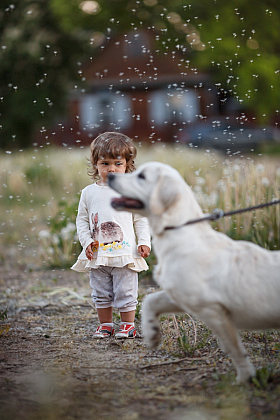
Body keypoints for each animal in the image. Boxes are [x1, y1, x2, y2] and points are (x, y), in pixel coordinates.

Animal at [108, 162, 280, 382]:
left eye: (142, 176)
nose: (110, 176)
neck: (179, 230)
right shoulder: (182, 295)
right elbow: (151, 300)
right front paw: (152, 333)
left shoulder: (211, 308)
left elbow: (232, 347)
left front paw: (245, 377)